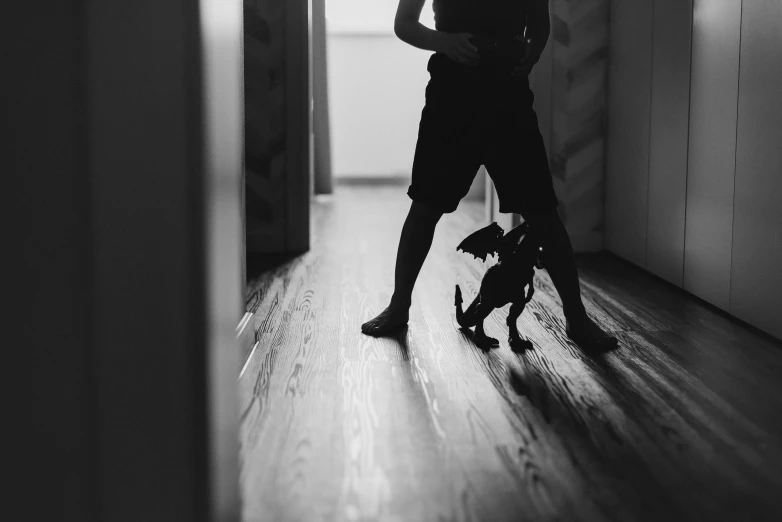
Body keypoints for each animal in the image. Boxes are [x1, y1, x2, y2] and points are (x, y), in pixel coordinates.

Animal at [456, 219, 544, 350]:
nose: (542, 262)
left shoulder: (529, 270)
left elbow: (530, 279)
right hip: (488, 292)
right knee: (481, 309)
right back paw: (482, 340)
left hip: (514, 296)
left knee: (514, 311)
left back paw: (516, 341)